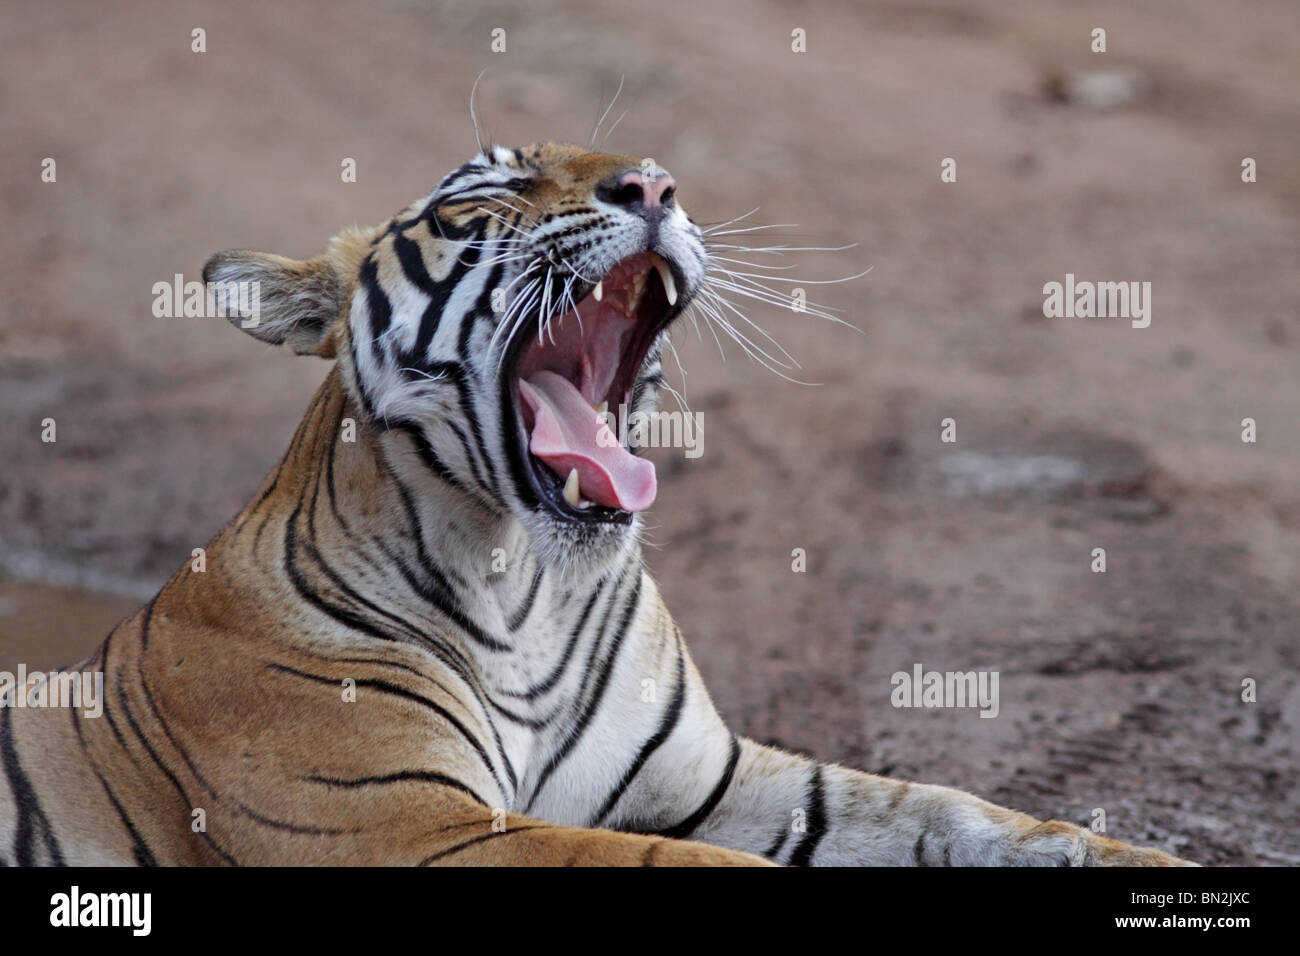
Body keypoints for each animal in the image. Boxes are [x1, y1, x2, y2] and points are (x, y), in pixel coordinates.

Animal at [0, 141, 1190, 868]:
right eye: (486, 196)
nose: (654, 188)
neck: (527, 579)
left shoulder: (713, 775)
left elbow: (943, 810)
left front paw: (1138, 854)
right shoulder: (402, 823)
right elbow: (681, 864)